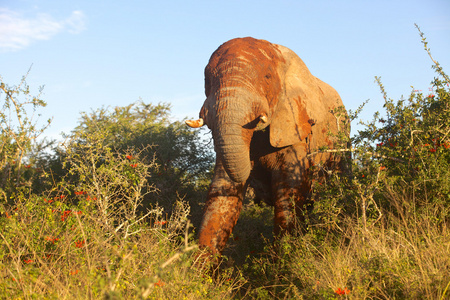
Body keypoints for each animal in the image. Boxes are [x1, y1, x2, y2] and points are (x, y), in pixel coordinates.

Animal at [186, 37, 348, 258]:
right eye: (207, 81)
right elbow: (223, 190)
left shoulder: (295, 128)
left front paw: (283, 261)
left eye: (267, 77)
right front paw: (196, 266)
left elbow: (288, 192)